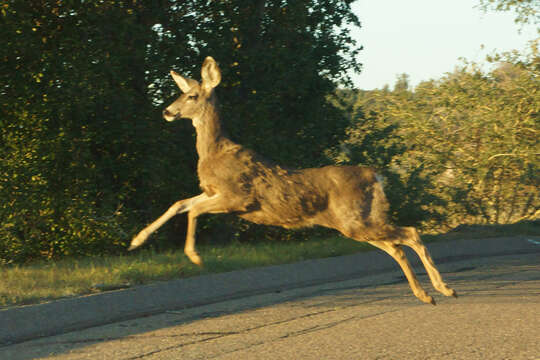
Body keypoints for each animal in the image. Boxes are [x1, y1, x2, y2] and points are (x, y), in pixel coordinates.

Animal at [129, 57, 458, 306]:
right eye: (182, 93)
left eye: (192, 96)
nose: (167, 111)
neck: (213, 151)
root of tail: (374, 175)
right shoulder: (211, 192)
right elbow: (180, 204)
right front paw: (137, 239)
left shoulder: (238, 196)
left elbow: (194, 210)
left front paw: (194, 257)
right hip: (357, 223)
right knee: (397, 247)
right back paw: (426, 295)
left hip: (357, 220)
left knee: (411, 233)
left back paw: (444, 289)